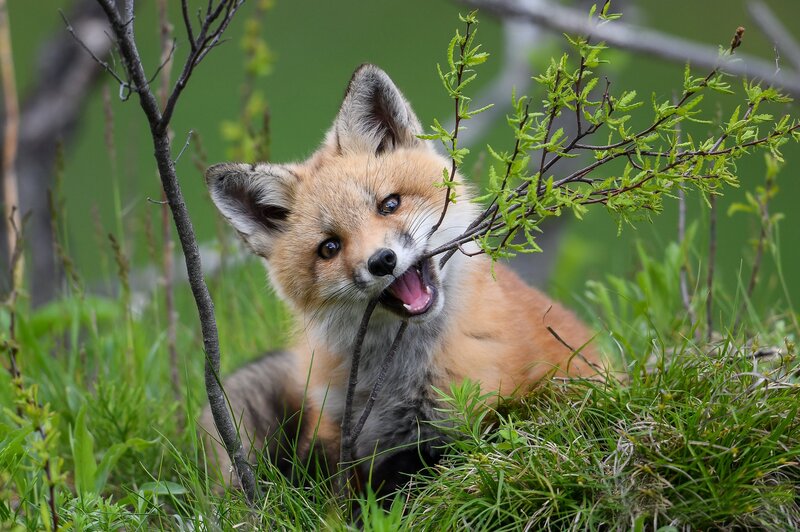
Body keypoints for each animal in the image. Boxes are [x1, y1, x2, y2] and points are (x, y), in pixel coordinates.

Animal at [199, 64, 602, 494]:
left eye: (389, 204)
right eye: (329, 247)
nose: (382, 261)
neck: (397, 380)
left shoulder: (474, 422)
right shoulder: (334, 431)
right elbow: (326, 486)